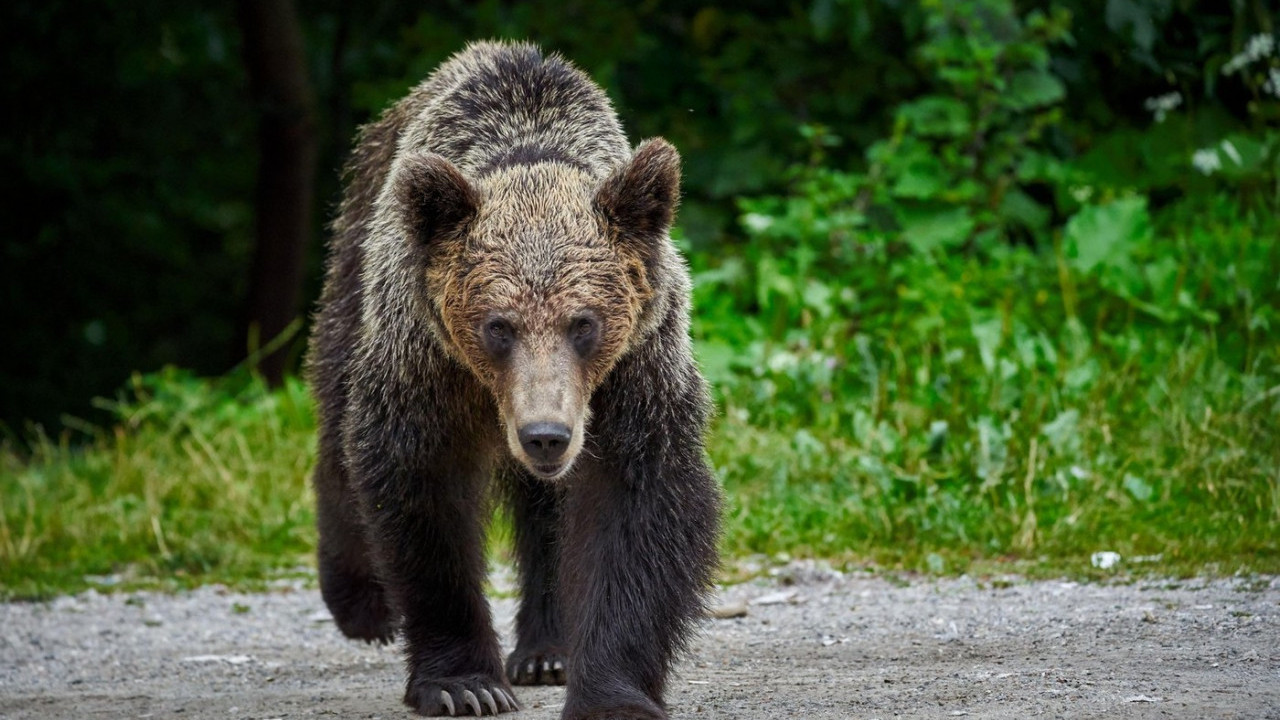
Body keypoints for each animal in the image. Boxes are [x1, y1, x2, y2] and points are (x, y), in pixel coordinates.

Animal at [300, 40, 721, 717]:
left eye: (584, 323)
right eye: (499, 325)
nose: (545, 435)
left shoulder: (635, 371)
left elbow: (635, 506)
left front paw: (611, 692)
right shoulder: (428, 363)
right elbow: (422, 493)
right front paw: (464, 683)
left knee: (546, 510)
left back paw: (548, 649)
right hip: (352, 276)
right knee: (339, 420)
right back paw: (361, 604)